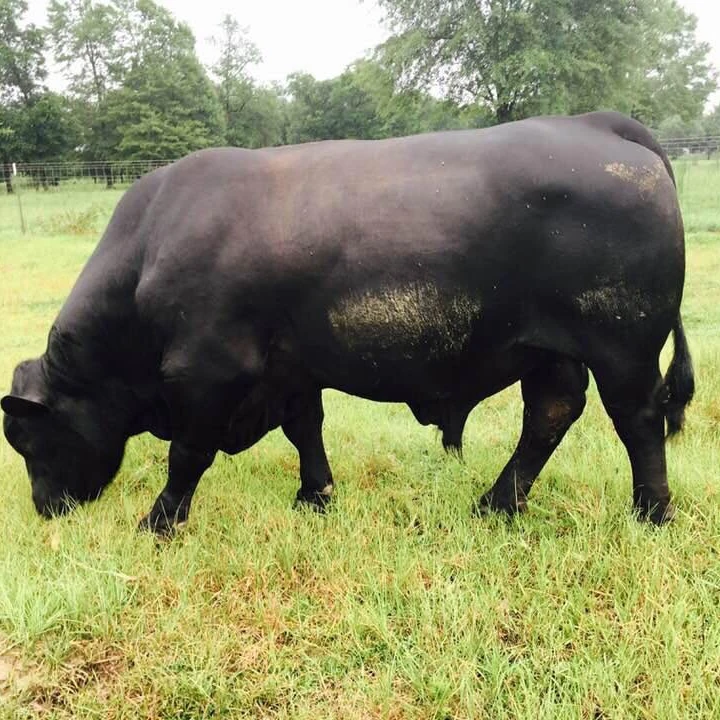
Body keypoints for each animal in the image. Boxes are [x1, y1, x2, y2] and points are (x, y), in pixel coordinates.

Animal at [2, 111, 694, 536]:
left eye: (29, 439)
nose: (45, 509)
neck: (150, 247)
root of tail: (596, 123)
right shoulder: (289, 367)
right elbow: (304, 428)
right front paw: (315, 497)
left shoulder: (206, 370)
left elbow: (188, 453)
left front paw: (159, 522)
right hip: (550, 348)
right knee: (551, 414)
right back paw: (497, 504)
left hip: (623, 344)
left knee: (637, 419)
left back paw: (649, 512)